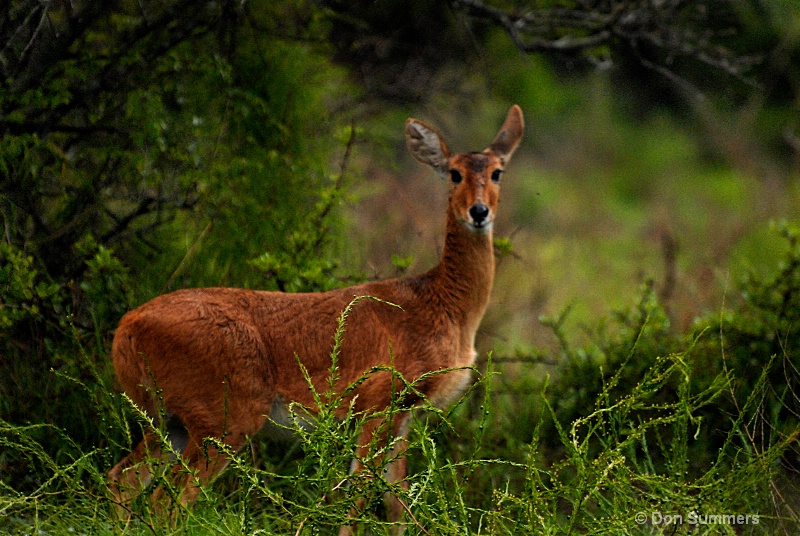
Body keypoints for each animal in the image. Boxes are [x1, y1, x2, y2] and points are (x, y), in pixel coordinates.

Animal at [109, 104, 528, 532]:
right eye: (454, 173)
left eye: (498, 171)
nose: (479, 212)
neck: (441, 305)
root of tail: (126, 328)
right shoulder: (379, 399)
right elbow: (360, 488)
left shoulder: (404, 413)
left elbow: (396, 499)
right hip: (224, 417)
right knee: (168, 502)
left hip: (169, 419)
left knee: (123, 478)